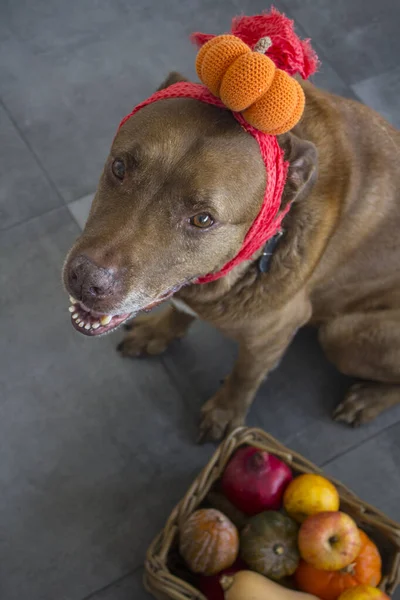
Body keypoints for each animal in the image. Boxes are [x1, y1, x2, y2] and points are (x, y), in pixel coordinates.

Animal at [62, 72, 400, 442]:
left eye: (203, 219)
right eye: (120, 167)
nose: (85, 279)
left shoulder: (272, 337)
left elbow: (244, 376)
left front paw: (225, 412)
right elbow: (180, 313)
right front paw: (158, 333)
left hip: (342, 334)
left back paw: (368, 399)